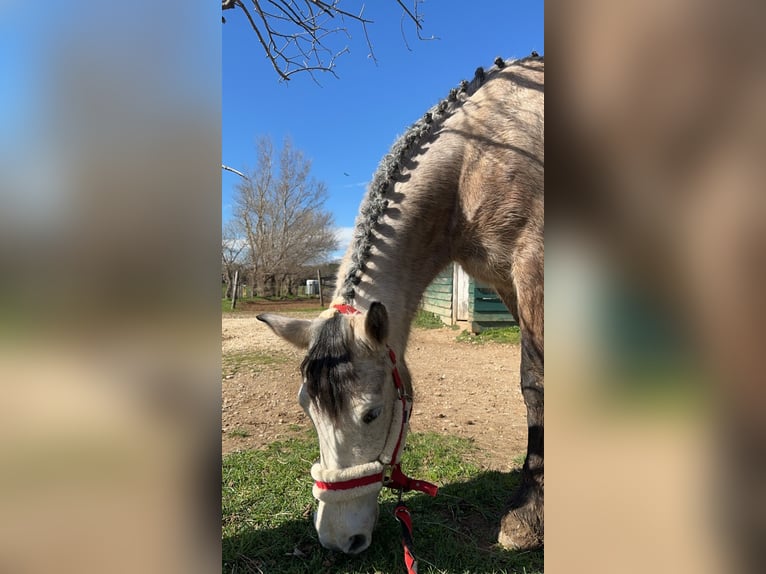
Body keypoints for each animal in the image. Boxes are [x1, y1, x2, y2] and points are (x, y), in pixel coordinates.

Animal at [260, 56, 544, 556]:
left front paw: (526, 518)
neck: (474, 160)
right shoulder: (505, 282)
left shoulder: (533, 265)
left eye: (371, 414)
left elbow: (537, 385)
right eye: (305, 409)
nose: (338, 539)